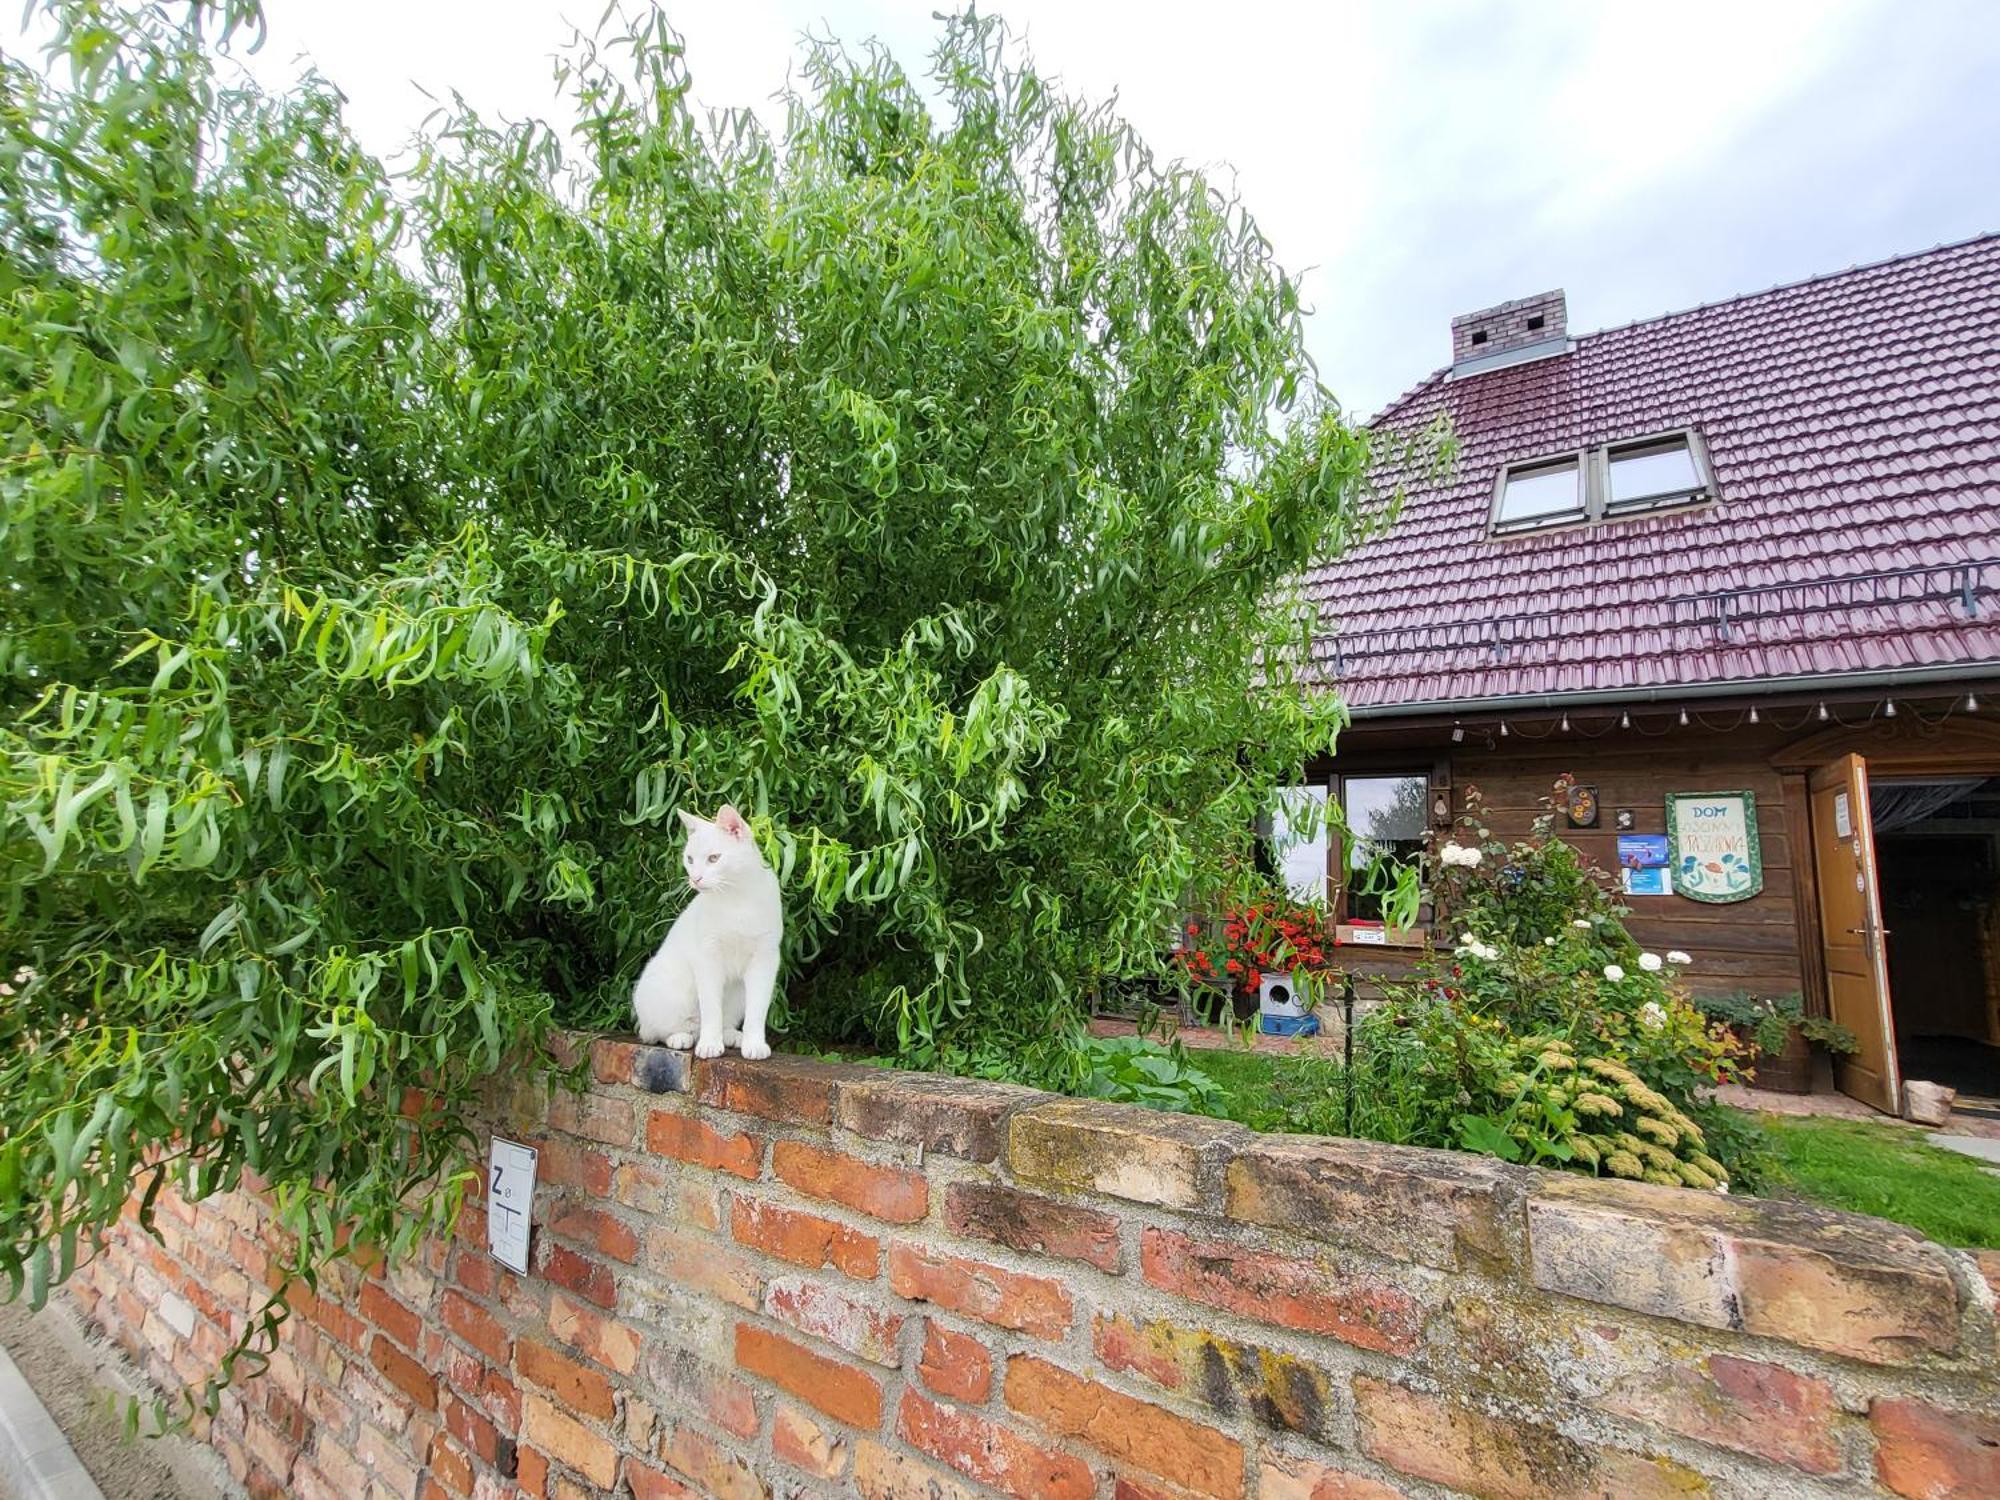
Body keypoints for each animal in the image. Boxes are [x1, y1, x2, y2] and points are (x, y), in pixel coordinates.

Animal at [632, 804, 780, 1064]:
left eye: (714, 858)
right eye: (690, 859)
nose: (695, 878)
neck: (737, 897)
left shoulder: (765, 959)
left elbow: (757, 1009)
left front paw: (754, 1043)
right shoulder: (707, 958)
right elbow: (711, 1007)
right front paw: (710, 1045)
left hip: (737, 993)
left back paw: (732, 1035)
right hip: (665, 990)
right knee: (658, 1032)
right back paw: (682, 1037)